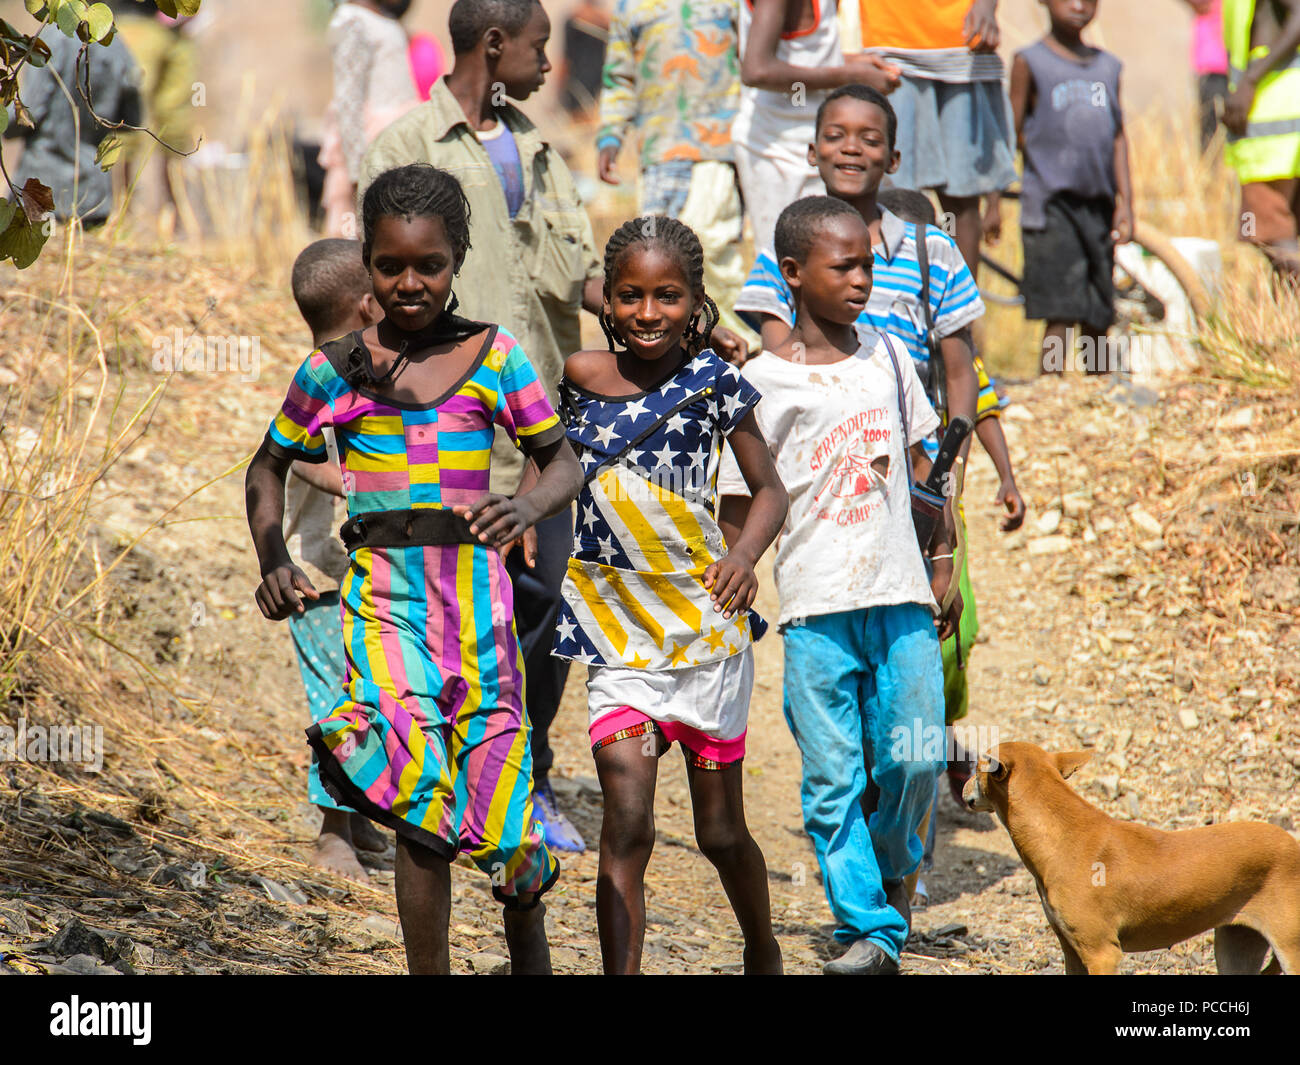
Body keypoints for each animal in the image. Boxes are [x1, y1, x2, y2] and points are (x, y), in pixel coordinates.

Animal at [961, 743, 1300, 972]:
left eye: (976, 767)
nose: (963, 787)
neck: (1059, 835)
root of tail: (1292, 844)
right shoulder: (1071, 948)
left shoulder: (1102, 953)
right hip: (1236, 944)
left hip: (1289, 948)